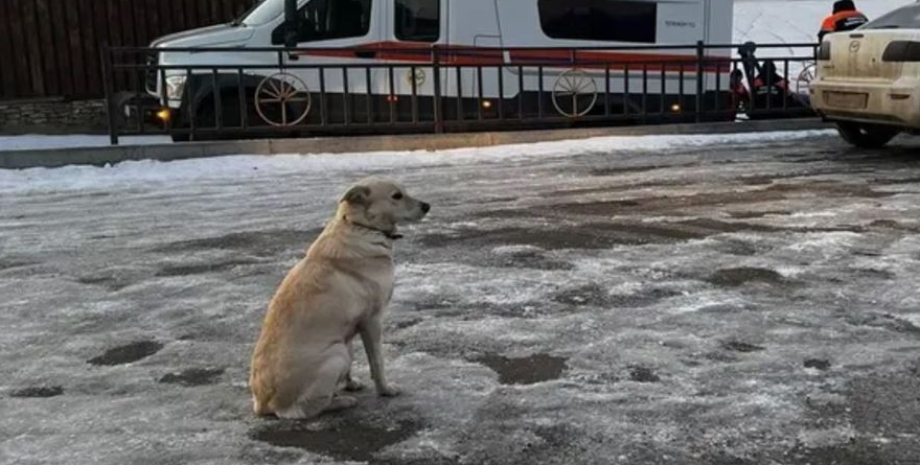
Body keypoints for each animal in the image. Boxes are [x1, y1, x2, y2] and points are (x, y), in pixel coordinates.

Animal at [248, 176, 428, 418]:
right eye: (396, 196)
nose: (427, 206)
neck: (361, 227)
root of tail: (263, 403)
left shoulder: (350, 327)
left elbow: (354, 361)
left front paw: (350, 383)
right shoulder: (372, 320)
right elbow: (377, 362)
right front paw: (385, 390)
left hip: (340, 347)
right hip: (336, 354)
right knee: (305, 409)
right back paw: (341, 402)